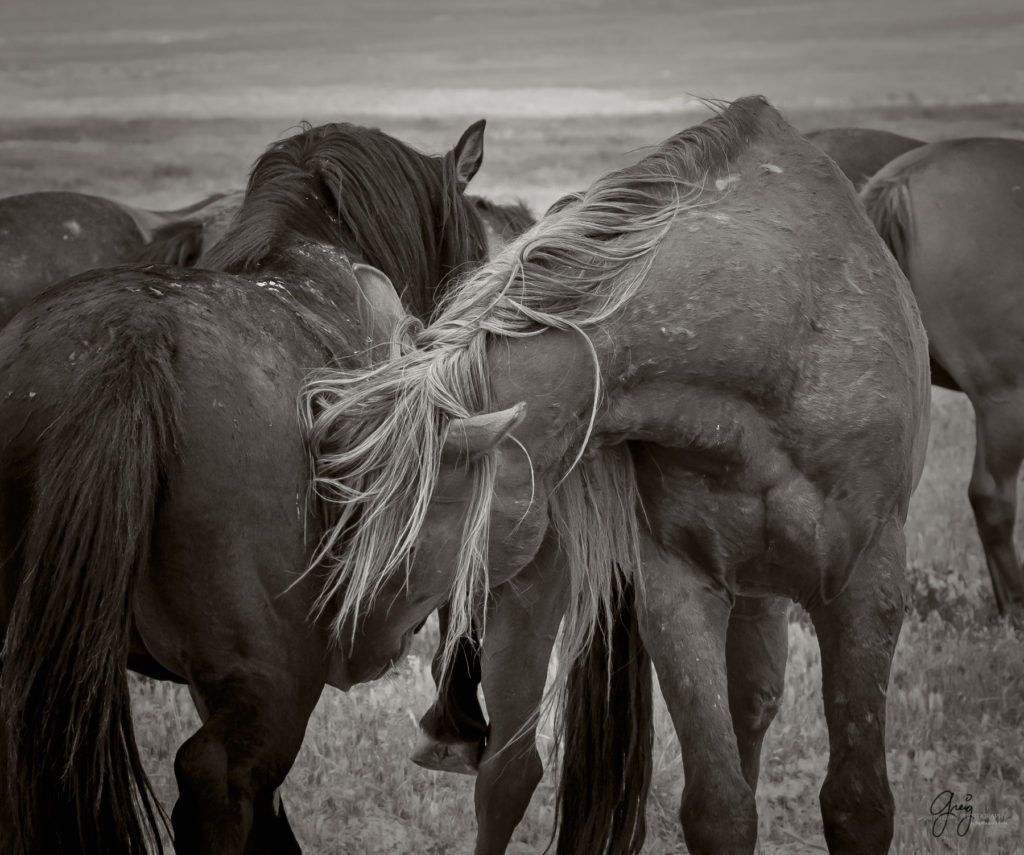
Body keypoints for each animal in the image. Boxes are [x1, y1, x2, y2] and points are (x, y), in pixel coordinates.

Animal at [301, 95, 929, 855]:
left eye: (420, 527)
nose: (342, 648)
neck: (784, 334)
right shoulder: (678, 591)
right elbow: (720, 807)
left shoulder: (870, 586)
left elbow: (857, 803)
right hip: (536, 586)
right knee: (510, 771)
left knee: (751, 703)